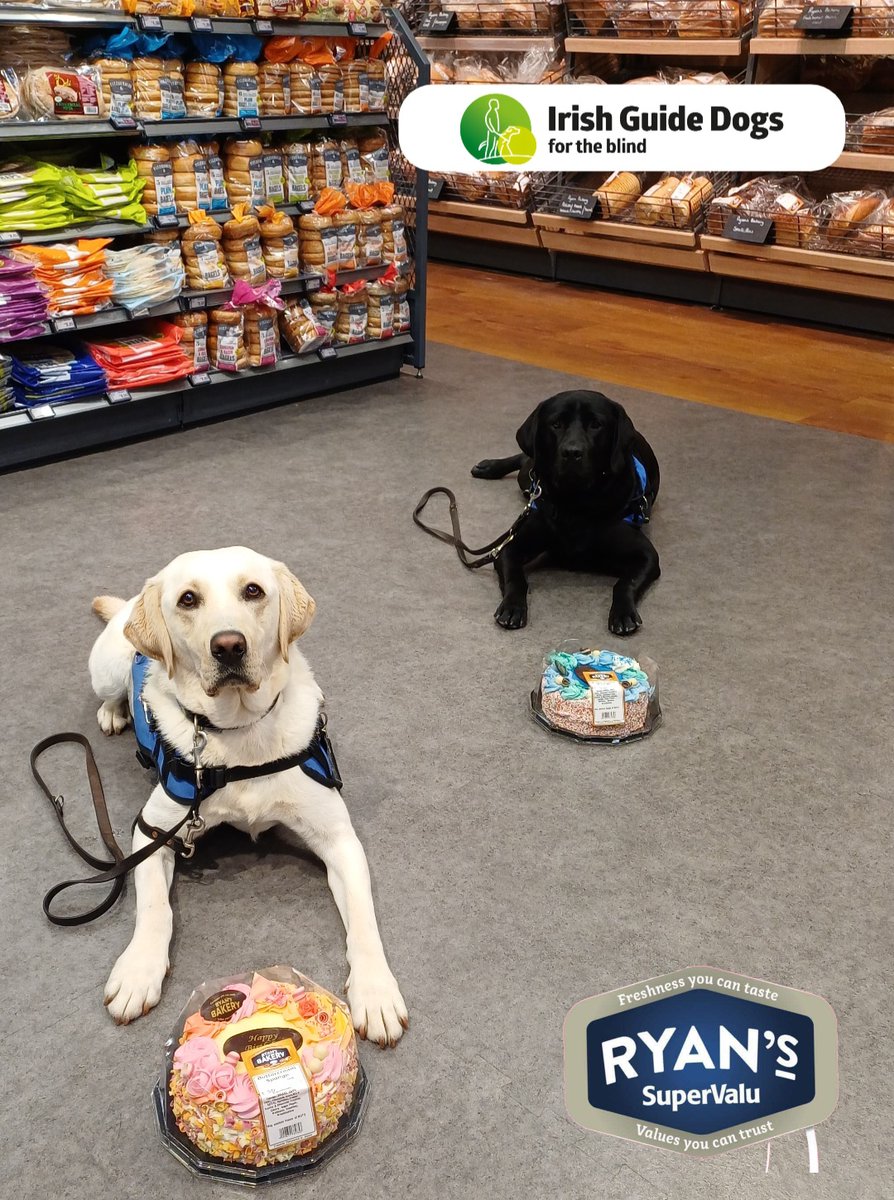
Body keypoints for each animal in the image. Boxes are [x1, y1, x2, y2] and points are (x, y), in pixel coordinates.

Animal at [87, 544, 408, 1041]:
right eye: (188, 599)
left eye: (253, 591)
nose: (228, 645)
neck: (241, 732)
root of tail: (128, 604)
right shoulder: (154, 831)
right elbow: (155, 908)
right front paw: (138, 970)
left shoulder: (340, 840)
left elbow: (363, 918)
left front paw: (375, 990)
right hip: (104, 668)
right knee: (113, 690)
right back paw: (114, 711)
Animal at [470, 393, 657, 638]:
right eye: (556, 424)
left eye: (596, 424)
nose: (572, 452)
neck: (575, 502)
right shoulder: (509, 547)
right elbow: (515, 578)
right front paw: (512, 607)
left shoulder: (647, 556)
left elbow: (625, 583)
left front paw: (623, 613)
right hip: (528, 475)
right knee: (525, 459)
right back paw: (489, 467)